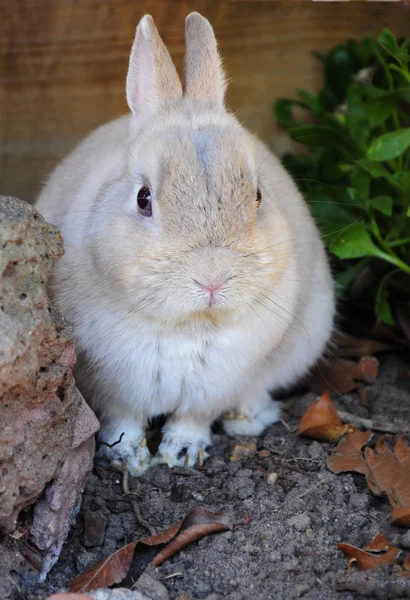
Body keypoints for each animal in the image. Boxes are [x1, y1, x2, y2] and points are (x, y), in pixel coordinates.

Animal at [36, 11, 334, 476]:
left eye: (258, 196)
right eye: (143, 199)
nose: (212, 281)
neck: (189, 325)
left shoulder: (215, 384)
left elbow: (192, 419)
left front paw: (180, 453)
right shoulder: (112, 384)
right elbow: (123, 420)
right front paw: (127, 458)